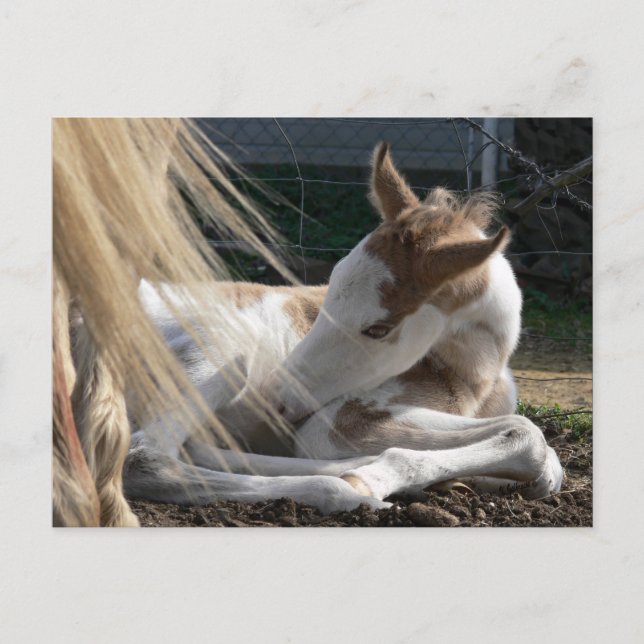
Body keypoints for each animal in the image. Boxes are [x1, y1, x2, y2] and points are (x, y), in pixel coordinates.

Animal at [121, 142, 564, 514]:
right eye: (328, 291)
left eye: (378, 329)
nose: (274, 401)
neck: (475, 376)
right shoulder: (336, 420)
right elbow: (526, 432)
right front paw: (377, 477)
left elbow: (546, 459)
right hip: (223, 346)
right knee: (144, 457)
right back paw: (349, 489)